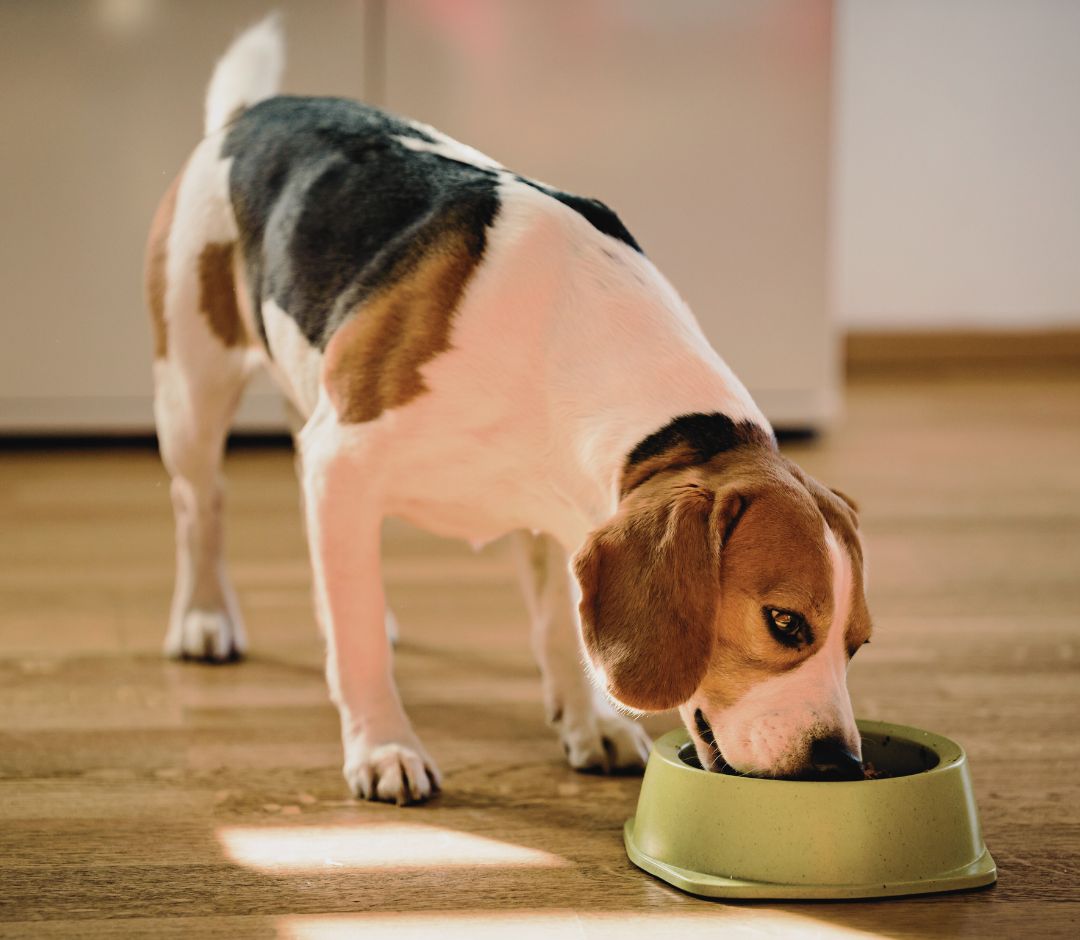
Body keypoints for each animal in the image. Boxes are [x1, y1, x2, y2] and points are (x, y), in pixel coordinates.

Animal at [145, 18, 868, 803]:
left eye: (857, 645)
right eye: (785, 622)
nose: (842, 763)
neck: (568, 339)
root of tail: (251, 113)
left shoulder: (561, 516)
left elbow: (558, 627)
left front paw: (588, 723)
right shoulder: (346, 460)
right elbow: (359, 643)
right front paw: (384, 746)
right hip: (192, 395)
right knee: (200, 508)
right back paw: (204, 618)